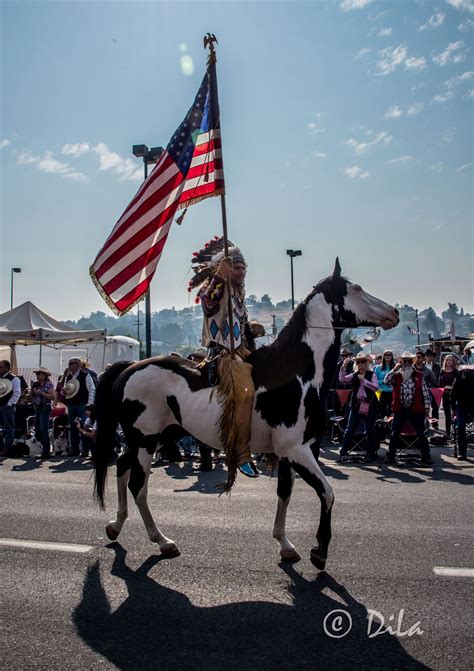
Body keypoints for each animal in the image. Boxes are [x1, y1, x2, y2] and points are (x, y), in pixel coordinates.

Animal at [92, 260, 396, 568]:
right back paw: (162, 541)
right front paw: (319, 551)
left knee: (121, 466)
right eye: (356, 288)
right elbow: (327, 492)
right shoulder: (296, 450)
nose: (393, 313)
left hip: (155, 436)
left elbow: (285, 492)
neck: (296, 373)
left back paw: (116, 525)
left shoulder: (294, 451)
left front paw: (285, 544)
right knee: (138, 485)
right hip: (145, 439)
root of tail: (130, 367)